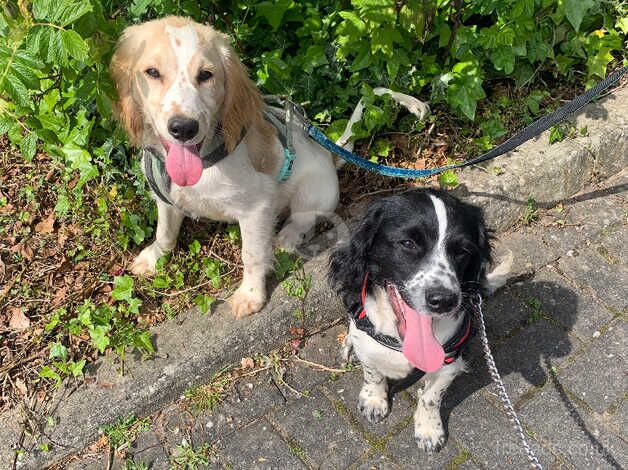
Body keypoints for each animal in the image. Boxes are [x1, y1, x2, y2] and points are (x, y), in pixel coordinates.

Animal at [110, 17, 430, 320]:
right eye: (152, 72)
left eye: (206, 75)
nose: (183, 128)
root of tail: (329, 155)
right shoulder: (165, 198)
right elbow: (164, 231)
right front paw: (152, 258)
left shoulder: (256, 207)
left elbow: (251, 254)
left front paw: (250, 296)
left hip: (312, 193)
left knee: (304, 219)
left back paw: (288, 236)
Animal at [332, 188, 494, 452]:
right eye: (408, 243)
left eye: (463, 251)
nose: (444, 300)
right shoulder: (367, 345)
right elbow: (372, 373)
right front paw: (374, 400)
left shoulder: (449, 363)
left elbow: (431, 397)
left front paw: (428, 430)